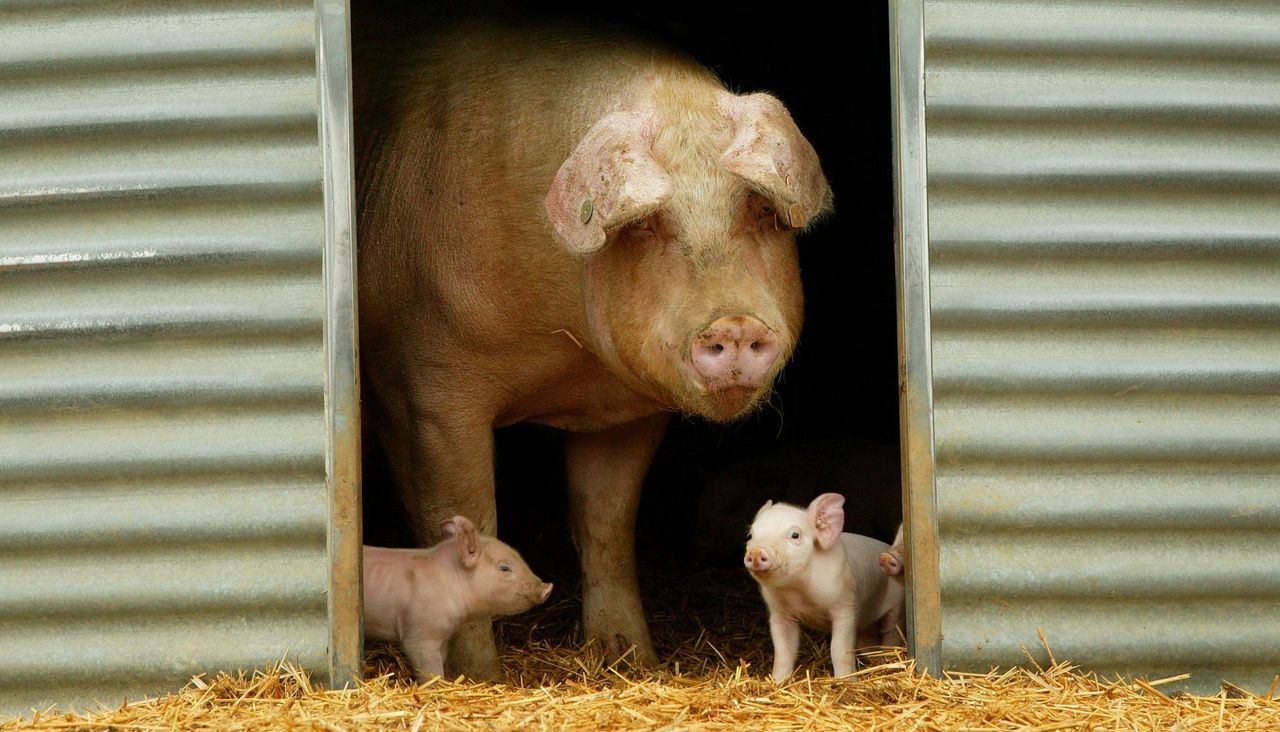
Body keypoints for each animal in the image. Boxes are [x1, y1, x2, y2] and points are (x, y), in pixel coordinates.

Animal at [747, 491, 906, 680]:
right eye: (750, 535)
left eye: (795, 535)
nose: (756, 552)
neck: (799, 592)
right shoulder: (779, 614)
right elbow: (783, 652)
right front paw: (777, 681)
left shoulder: (846, 607)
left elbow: (839, 649)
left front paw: (846, 681)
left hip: (897, 606)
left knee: (891, 632)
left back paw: (889, 660)